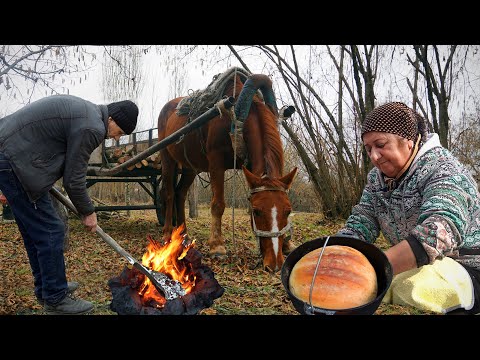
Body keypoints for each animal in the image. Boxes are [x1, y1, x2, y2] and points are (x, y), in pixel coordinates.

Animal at [157, 67, 296, 270]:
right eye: (256, 211)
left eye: (287, 210)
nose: (274, 264)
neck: (239, 116)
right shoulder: (216, 163)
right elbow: (218, 204)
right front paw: (217, 246)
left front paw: (286, 243)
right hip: (167, 158)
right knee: (168, 193)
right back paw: (168, 233)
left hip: (190, 167)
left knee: (180, 193)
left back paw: (183, 235)